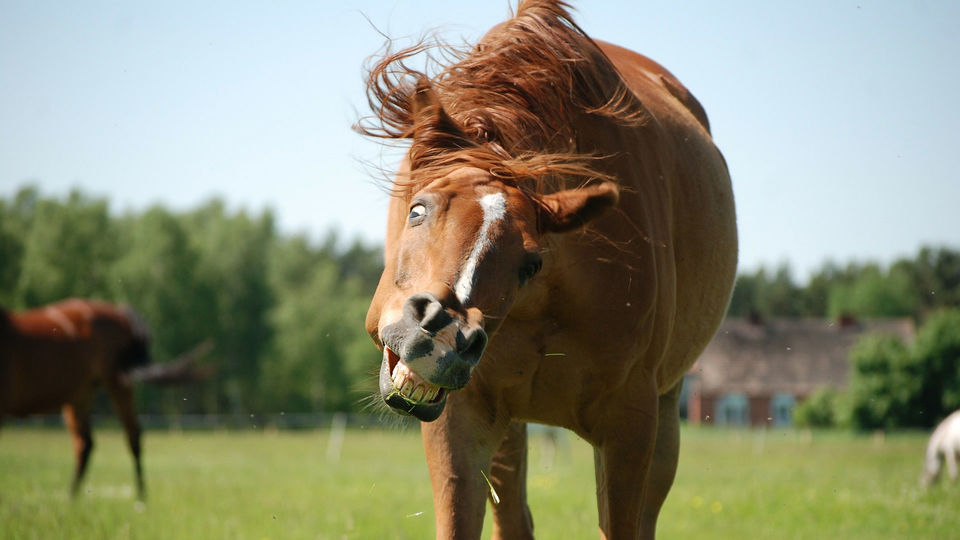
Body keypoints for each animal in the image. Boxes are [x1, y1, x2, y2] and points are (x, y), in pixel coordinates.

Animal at [0, 298, 152, 500]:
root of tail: (118, 312)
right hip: (81, 395)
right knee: (85, 443)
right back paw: (71, 497)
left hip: (116, 384)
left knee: (132, 436)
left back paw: (140, 497)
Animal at [358, 2, 736, 536]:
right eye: (417, 210)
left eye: (530, 263)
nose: (439, 334)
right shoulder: (461, 420)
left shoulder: (630, 425)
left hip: (665, 415)